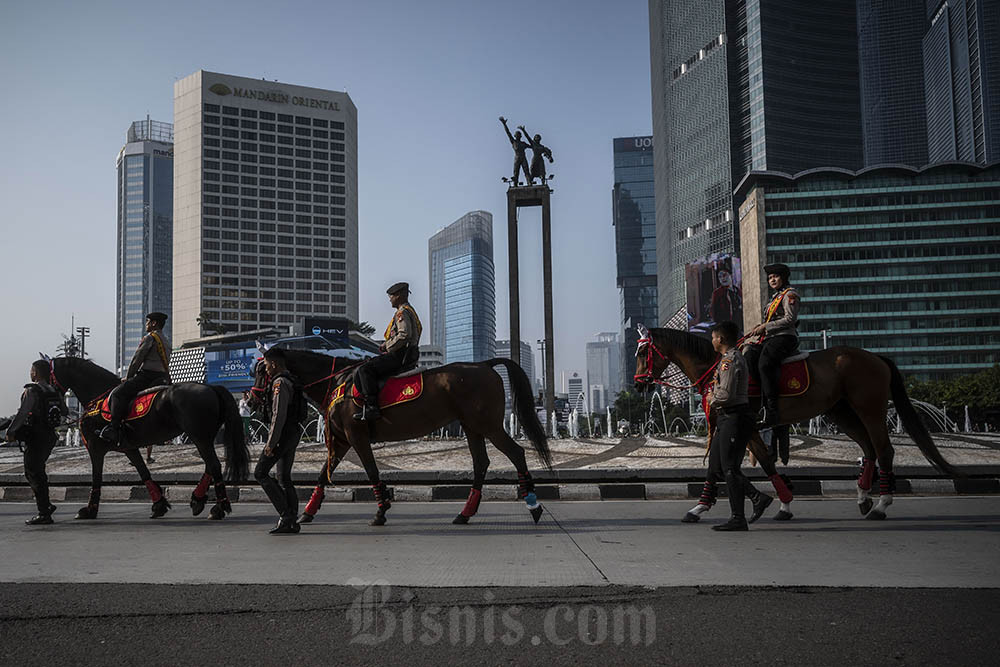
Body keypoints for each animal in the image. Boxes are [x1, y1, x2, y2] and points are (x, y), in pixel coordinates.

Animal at [245, 350, 552, 528]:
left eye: (261, 371)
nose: (250, 400)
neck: (338, 381)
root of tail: (484, 365)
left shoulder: (357, 437)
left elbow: (371, 470)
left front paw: (381, 511)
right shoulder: (342, 441)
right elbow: (323, 474)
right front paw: (307, 511)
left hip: (487, 425)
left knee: (516, 453)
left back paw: (533, 505)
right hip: (472, 426)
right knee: (481, 463)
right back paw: (466, 512)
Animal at [632, 326, 960, 520]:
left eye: (644, 351)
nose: (637, 383)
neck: (714, 367)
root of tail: (876, 358)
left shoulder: (740, 424)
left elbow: (741, 465)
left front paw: (775, 502)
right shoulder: (738, 428)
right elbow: (748, 464)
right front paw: (779, 502)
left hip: (870, 408)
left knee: (884, 449)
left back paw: (881, 504)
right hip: (840, 411)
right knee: (868, 448)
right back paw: (864, 497)